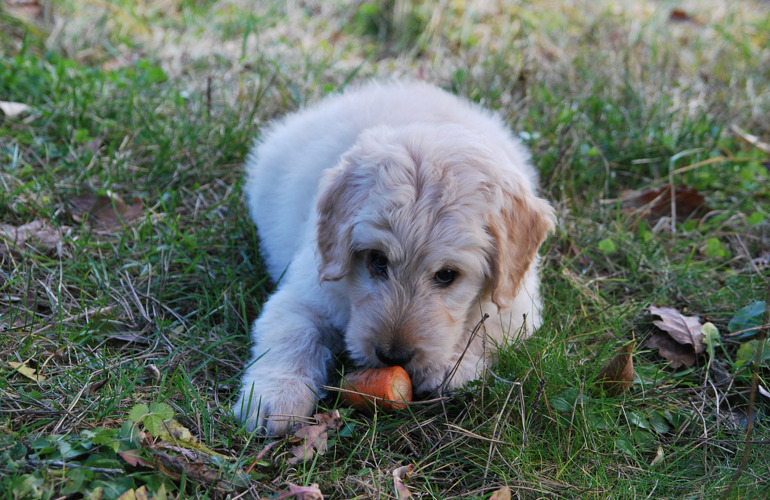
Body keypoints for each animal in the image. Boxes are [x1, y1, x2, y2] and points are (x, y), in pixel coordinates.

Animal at [234, 80, 552, 436]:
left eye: (447, 275)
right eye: (377, 259)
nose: (392, 356)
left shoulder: (518, 305)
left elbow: (485, 330)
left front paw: (449, 366)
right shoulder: (305, 293)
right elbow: (292, 336)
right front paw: (275, 397)